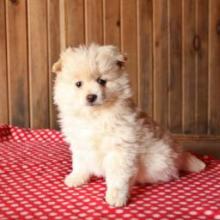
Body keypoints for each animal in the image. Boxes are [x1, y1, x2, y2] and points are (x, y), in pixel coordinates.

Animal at [52, 44, 205, 206]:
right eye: (78, 84)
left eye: (102, 81)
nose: (91, 97)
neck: (95, 116)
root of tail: (180, 154)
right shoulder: (80, 144)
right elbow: (80, 163)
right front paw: (76, 178)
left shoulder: (121, 149)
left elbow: (118, 176)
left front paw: (116, 197)